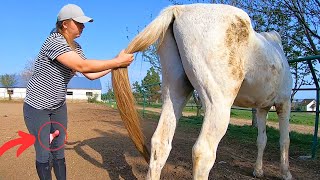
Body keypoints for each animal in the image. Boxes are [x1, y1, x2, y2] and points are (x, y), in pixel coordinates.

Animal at [112, 3, 292, 180]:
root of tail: (177, 10)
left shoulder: (262, 108)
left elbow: (262, 139)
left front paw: (258, 171)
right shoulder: (284, 103)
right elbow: (284, 140)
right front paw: (286, 173)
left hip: (175, 93)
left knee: (160, 143)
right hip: (218, 104)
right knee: (203, 151)